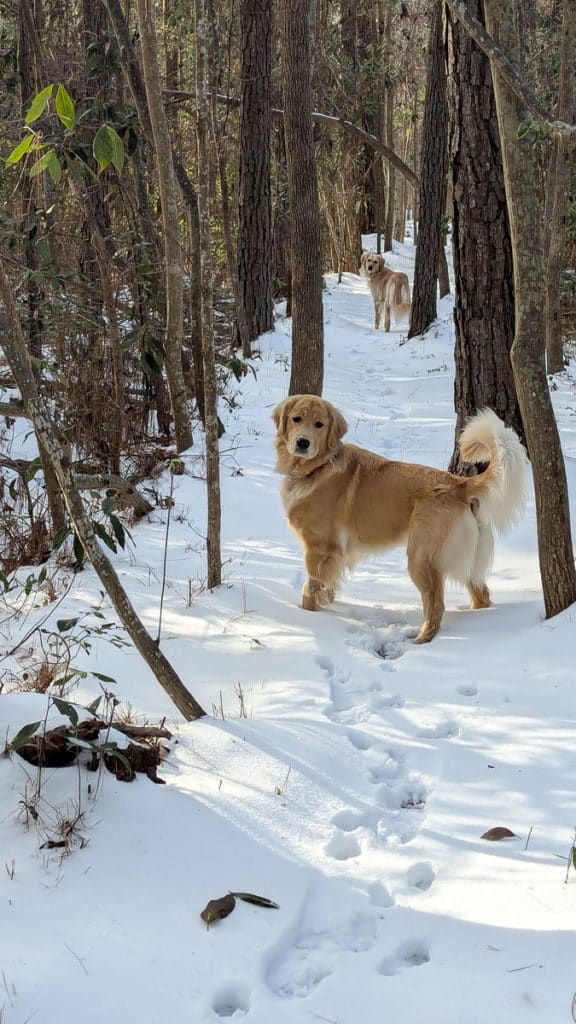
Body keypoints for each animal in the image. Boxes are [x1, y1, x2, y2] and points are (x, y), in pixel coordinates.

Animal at [272, 395, 524, 643]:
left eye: (319, 424)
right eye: (296, 419)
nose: (303, 443)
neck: (319, 467)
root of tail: (459, 484)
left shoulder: (319, 549)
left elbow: (310, 589)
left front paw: (309, 616)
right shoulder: (336, 555)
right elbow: (328, 587)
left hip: (422, 557)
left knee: (435, 604)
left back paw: (421, 638)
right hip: (468, 562)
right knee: (482, 596)